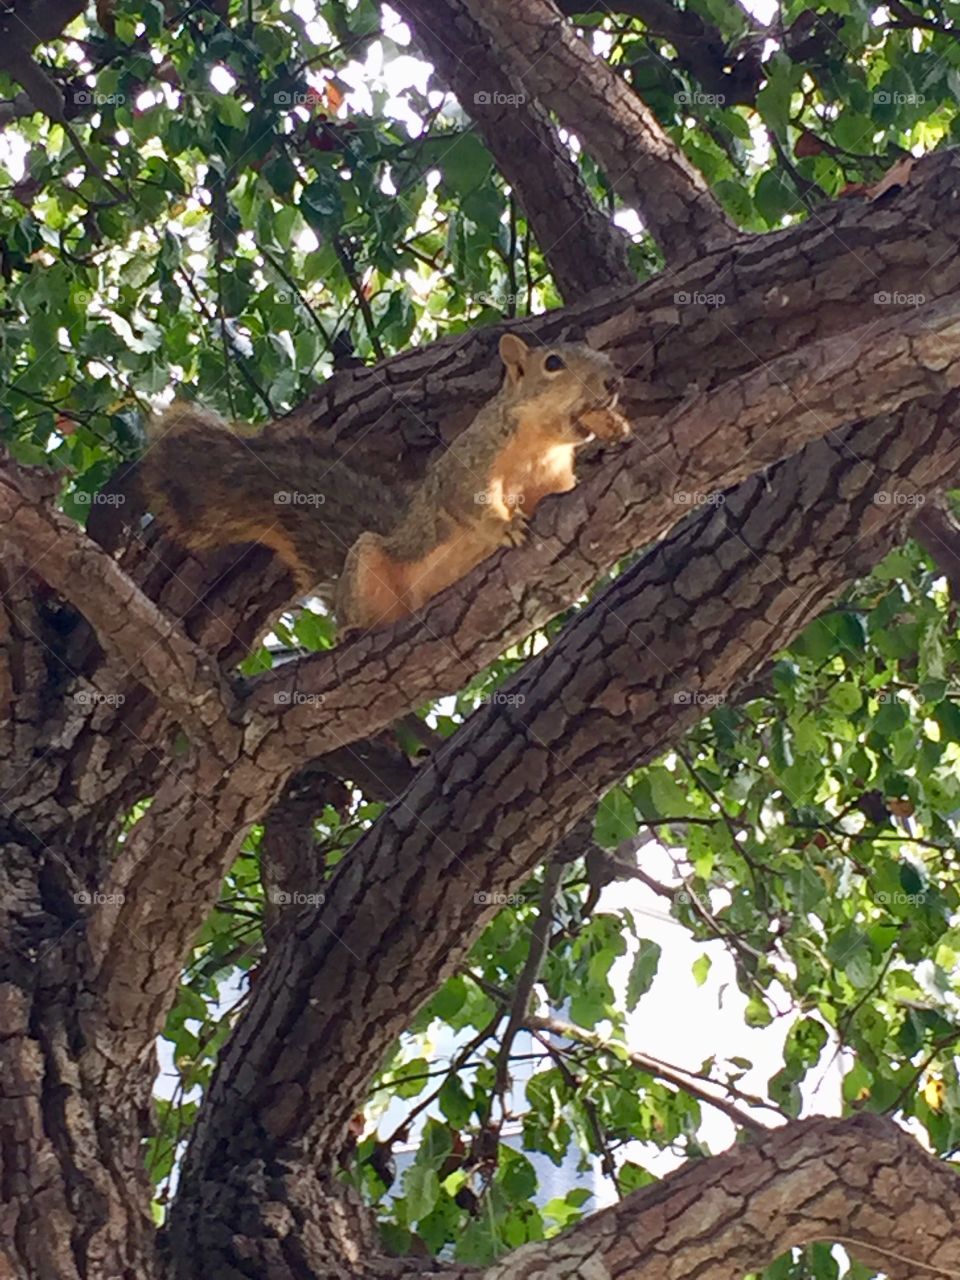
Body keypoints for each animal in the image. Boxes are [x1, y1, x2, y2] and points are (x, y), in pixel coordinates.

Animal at [335, 333, 630, 634]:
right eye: (553, 363)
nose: (614, 381)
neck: (540, 448)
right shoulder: (467, 466)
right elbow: (471, 503)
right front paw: (505, 527)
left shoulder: (553, 478)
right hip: (367, 564)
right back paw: (351, 630)